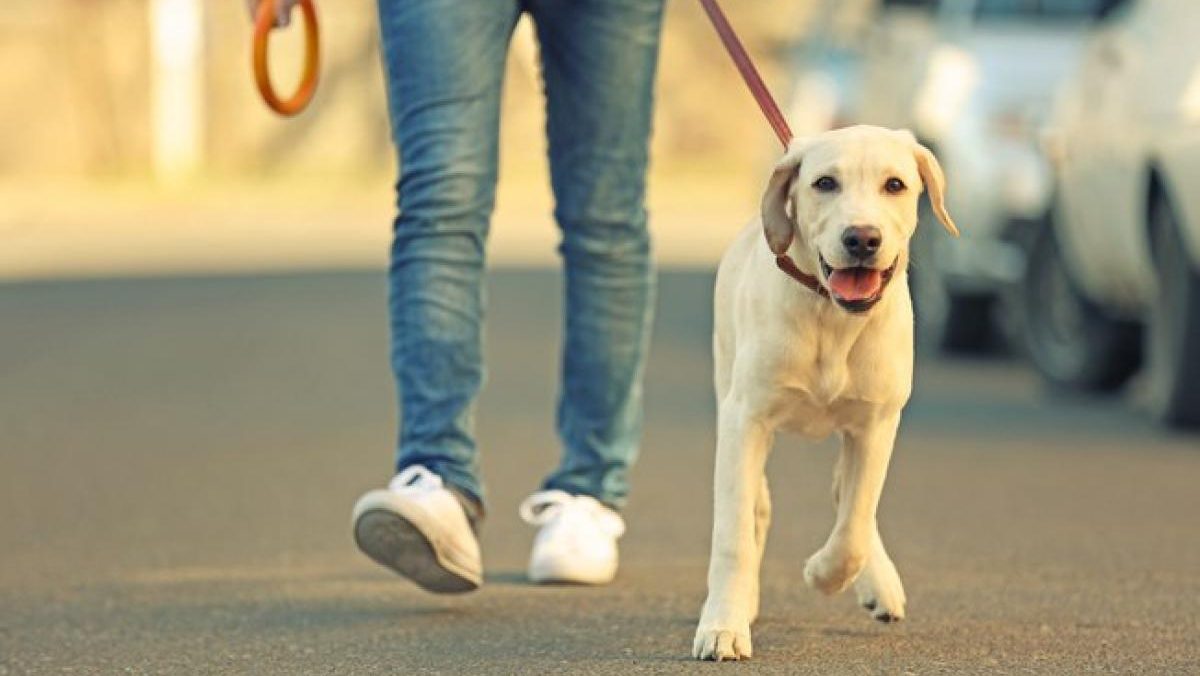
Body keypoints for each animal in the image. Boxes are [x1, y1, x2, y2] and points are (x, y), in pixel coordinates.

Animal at [696, 123, 955, 662]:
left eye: (895, 185)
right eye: (824, 183)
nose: (862, 238)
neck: (831, 319)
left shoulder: (876, 424)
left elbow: (855, 522)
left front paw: (824, 573)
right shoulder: (745, 419)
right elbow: (734, 533)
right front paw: (724, 624)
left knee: (851, 497)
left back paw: (879, 583)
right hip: (729, 382)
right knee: (757, 504)